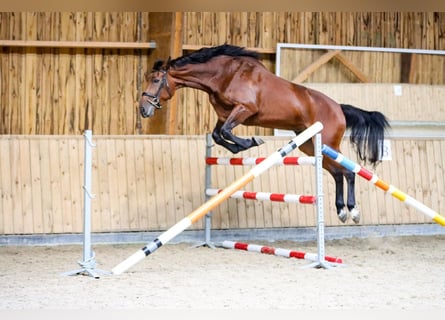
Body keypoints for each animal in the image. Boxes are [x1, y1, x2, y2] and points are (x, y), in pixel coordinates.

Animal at [140, 43, 388, 224]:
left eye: (156, 80)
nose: (143, 109)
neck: (224, 75)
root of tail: (339, 107)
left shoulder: (244, 109)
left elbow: (226, 131)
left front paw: (251, 141)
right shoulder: (224, 114)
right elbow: (218, 134)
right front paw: (241, 146)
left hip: (329, 143)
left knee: (349, 172)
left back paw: (353, 211)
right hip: (310, 146)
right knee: (337, 173)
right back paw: (341, 211)